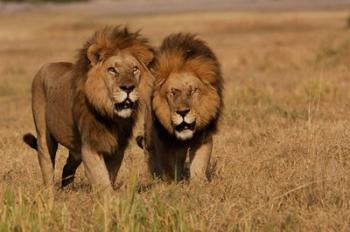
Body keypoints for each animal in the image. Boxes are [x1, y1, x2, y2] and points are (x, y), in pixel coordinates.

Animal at [23, 25, 154, 192]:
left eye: (135, 69)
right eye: (112, 70)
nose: (128, 88)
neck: (111, 116)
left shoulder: (117, 148)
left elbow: (110, 175)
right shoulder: (90, 146)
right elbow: (101, 179)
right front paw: (109, 198)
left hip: (75, 150)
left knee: (67, 167)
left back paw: (67, 190)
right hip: (43, 136)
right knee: (47, 165)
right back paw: (50, 193)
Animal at [137, 33, 224, 182]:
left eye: (193, 90)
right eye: (172, 92)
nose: (183, 112)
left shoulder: (204, 136)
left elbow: (199, 164)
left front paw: (199, 183)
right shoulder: (163, 139)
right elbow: (167, 166)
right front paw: (171, 183)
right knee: (151, 153)